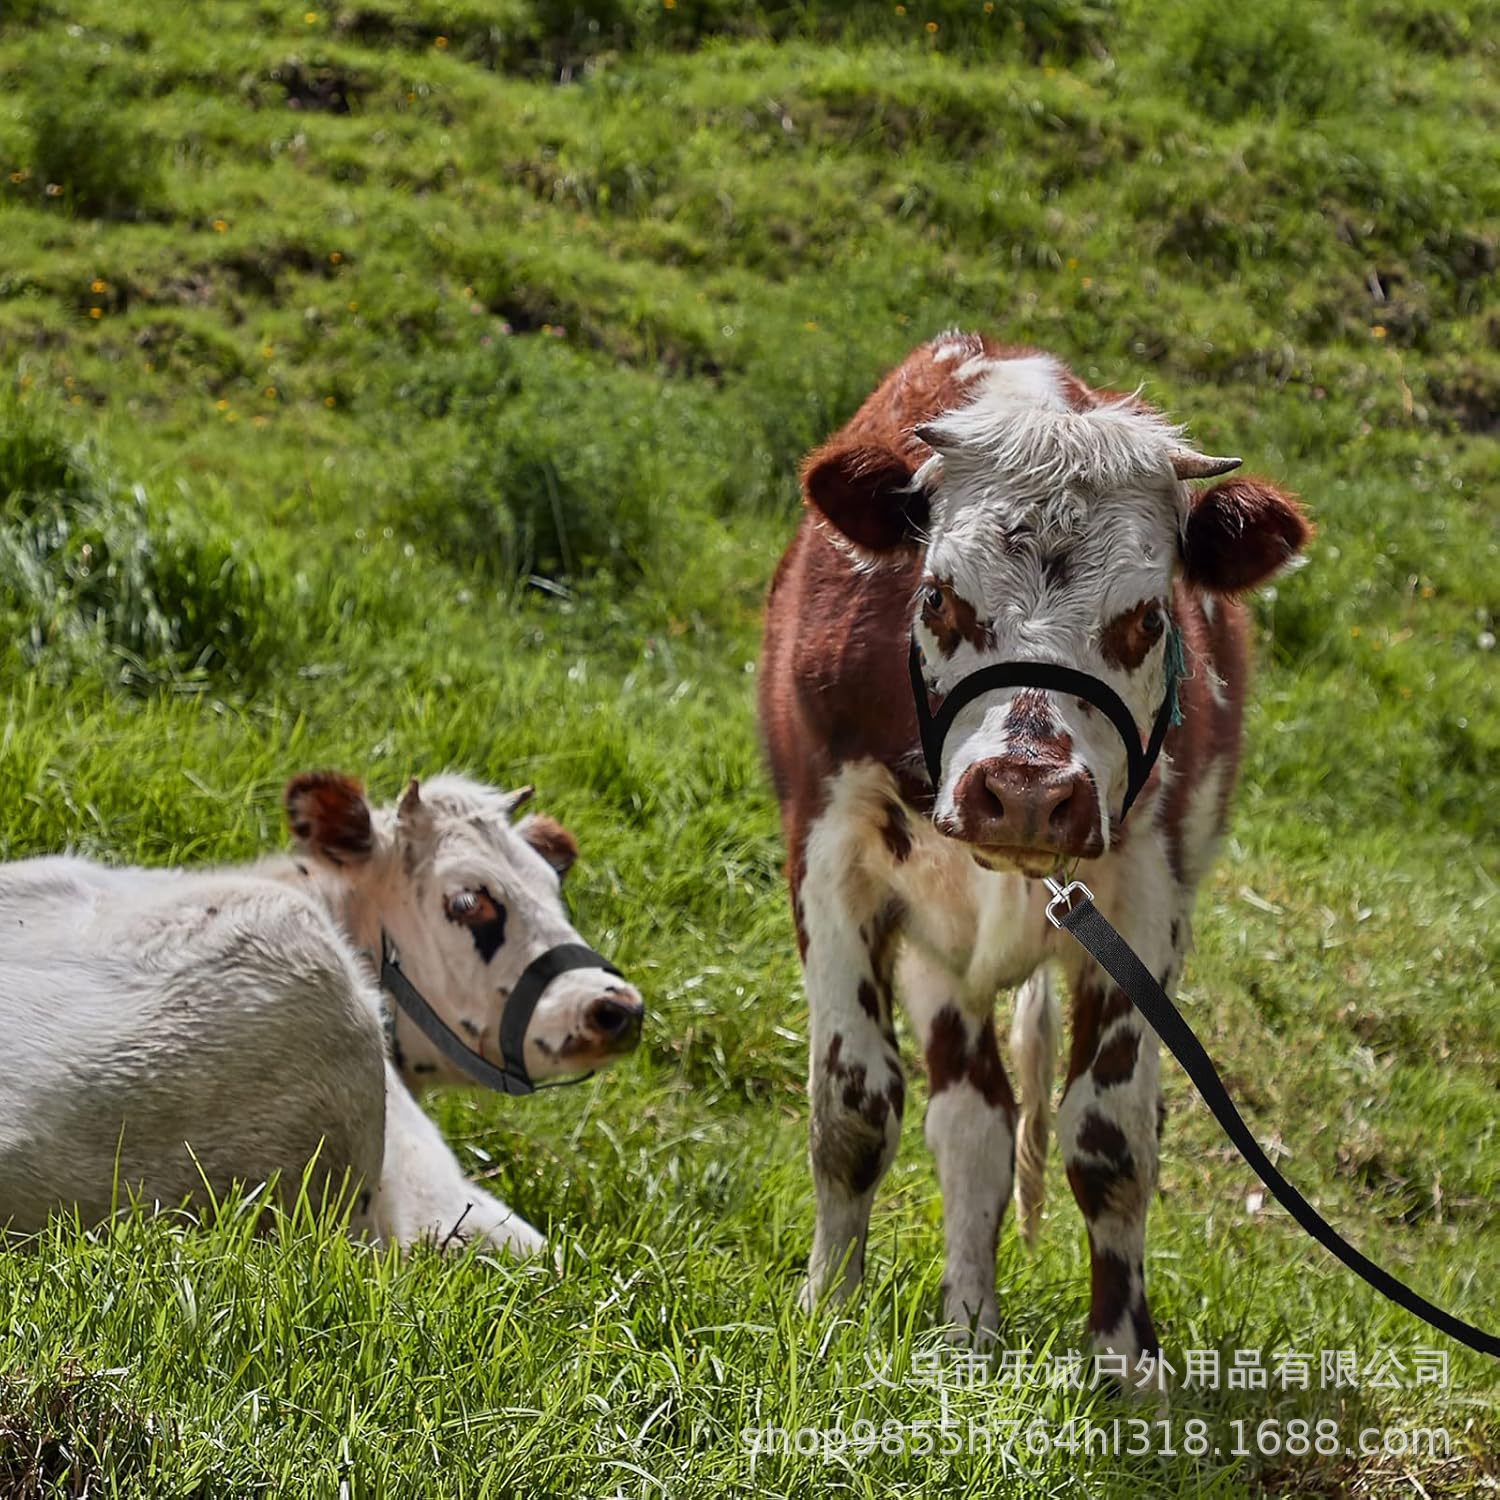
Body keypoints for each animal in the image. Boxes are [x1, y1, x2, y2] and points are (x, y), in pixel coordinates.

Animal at [759, 331, 1310, 1364]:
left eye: (1149, 617)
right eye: (938, 597)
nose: (1023, 791)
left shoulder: (1149, 903)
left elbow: (1111, 1137)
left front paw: (1126, 1360)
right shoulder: (830, 857)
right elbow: (853, 1107)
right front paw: (828, 1310)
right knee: (971, 1124)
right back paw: (970, 1328)